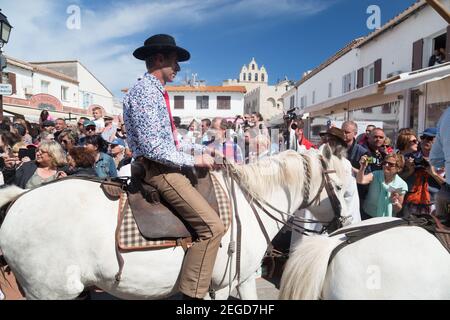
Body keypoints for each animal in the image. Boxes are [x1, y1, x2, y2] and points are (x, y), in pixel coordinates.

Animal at [0, 148, 348, 300]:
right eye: (342, 189)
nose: (346, 225)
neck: (248, 205)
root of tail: (20, 199)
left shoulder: (245, 278)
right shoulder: (220, 286)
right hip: (49, 293)